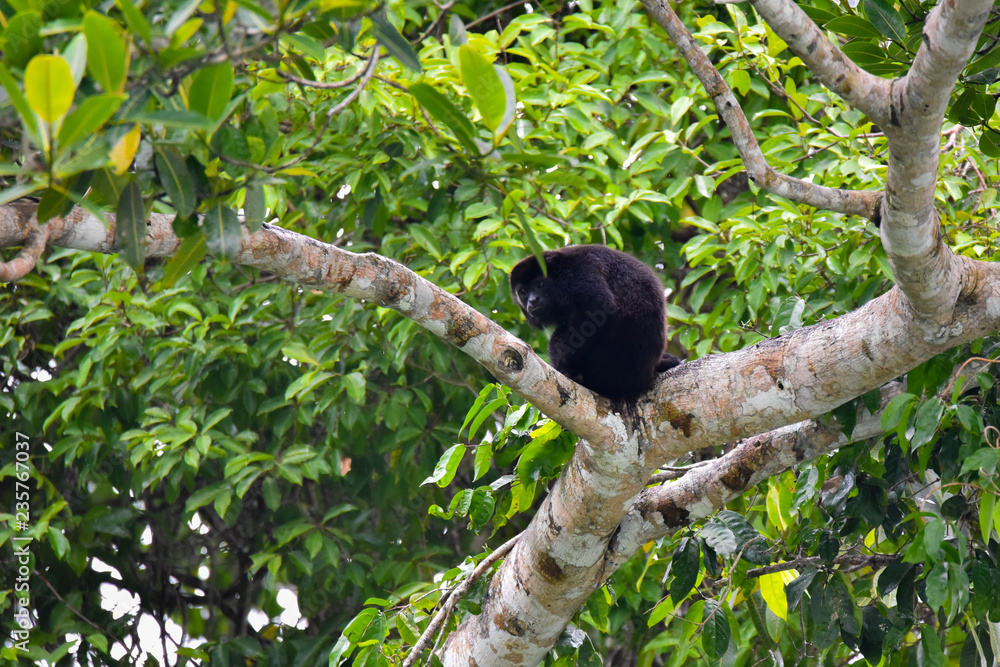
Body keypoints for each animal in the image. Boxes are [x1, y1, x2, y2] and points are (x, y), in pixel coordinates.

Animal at [509, 244, 681, 401]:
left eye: (540, 284)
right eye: (523, 292)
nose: (532, 300)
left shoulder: (577, 270)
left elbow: (598, 305)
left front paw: (564, 368)